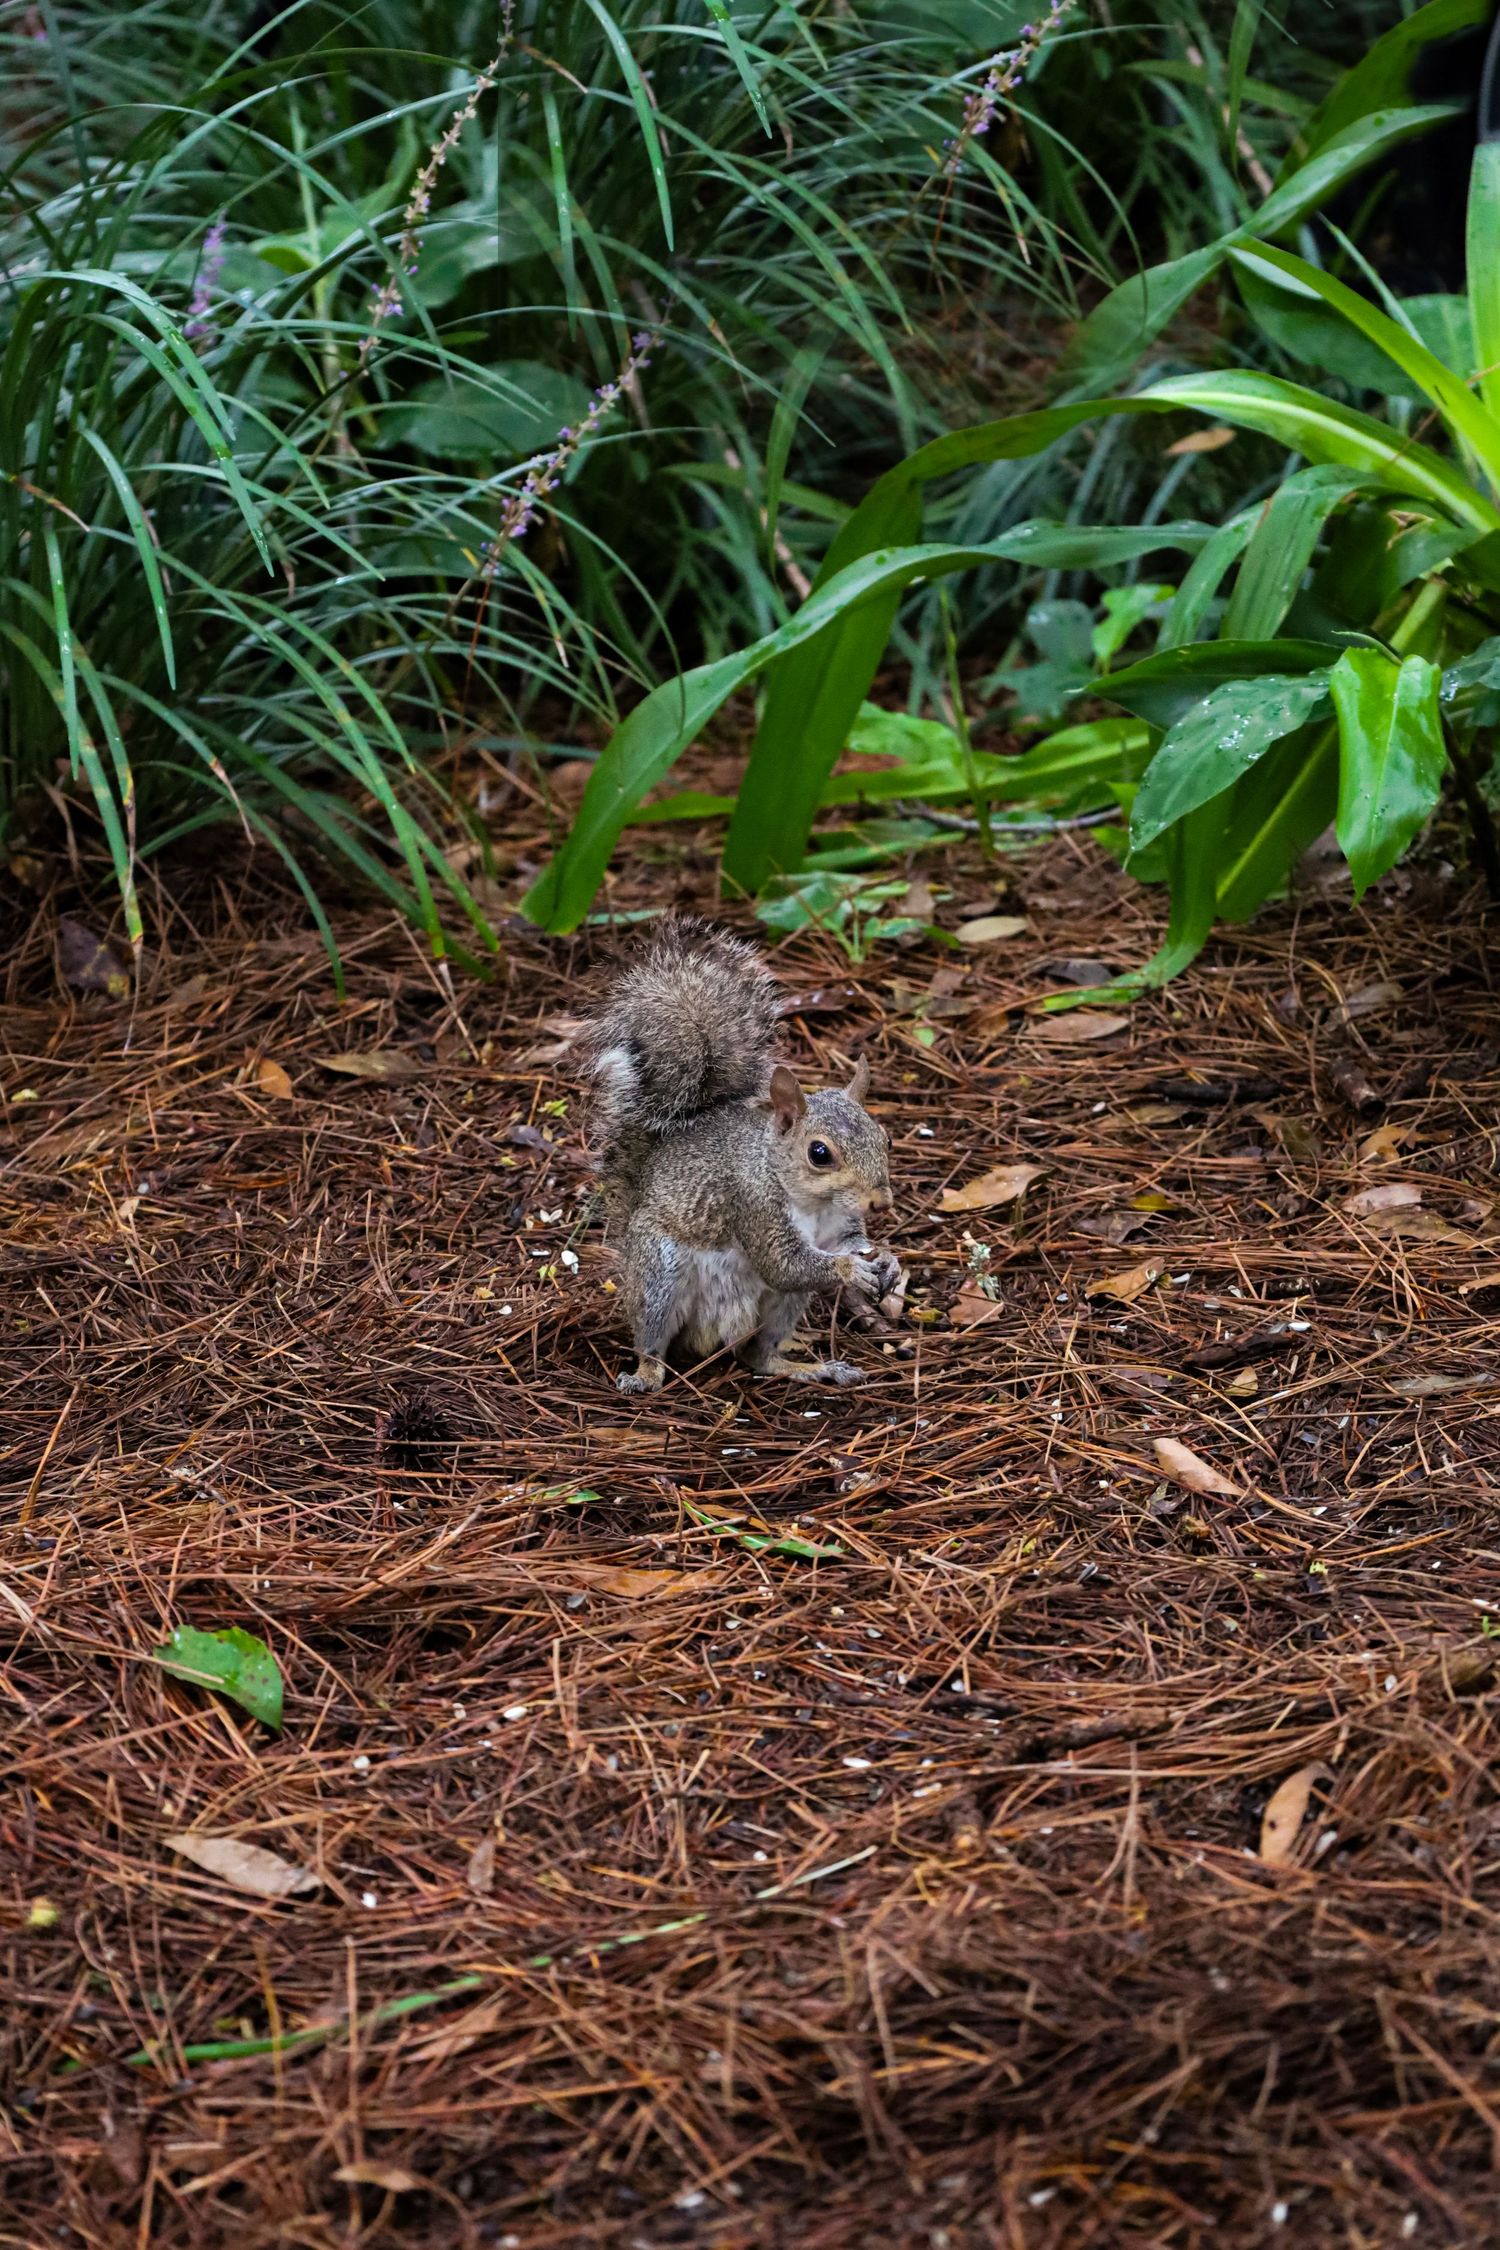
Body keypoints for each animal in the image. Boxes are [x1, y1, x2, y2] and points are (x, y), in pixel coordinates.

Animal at [585, 918, 901, 1393]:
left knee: (759, 1357)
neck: (811, 1201)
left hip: (781, 1308)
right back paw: (645, 1374)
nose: (880, 1202)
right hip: (659, 1274)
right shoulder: (753, 1204)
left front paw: (887, 1261)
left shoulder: (837, 1226)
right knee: (652, 1339)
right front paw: (851, 1271)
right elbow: (783, 1263)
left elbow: (841, 1247)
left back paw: (807, 1367)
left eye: (885, 1139)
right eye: (819, 1153)